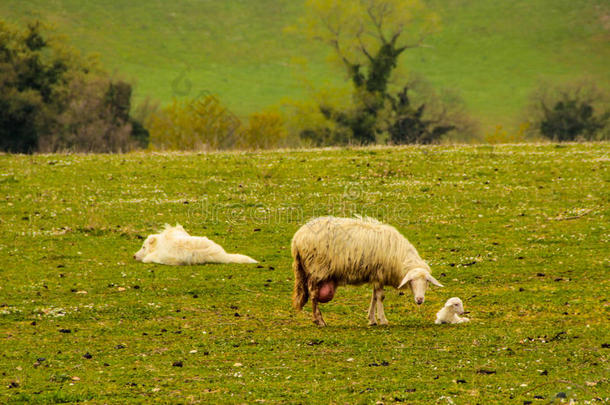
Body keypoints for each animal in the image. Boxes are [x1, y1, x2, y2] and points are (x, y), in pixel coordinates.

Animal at [290, 215, 442, 326]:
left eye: (427, 282)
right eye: (411, 281)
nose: (420, 300)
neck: (400, 257)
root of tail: (297, 238)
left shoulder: (376, 275)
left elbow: (374, 296)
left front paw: (372, 319)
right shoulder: (380, 274)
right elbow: (380, 297)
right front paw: (383, 320)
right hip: (316, 270)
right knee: (313, 295)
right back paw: (319, 320)